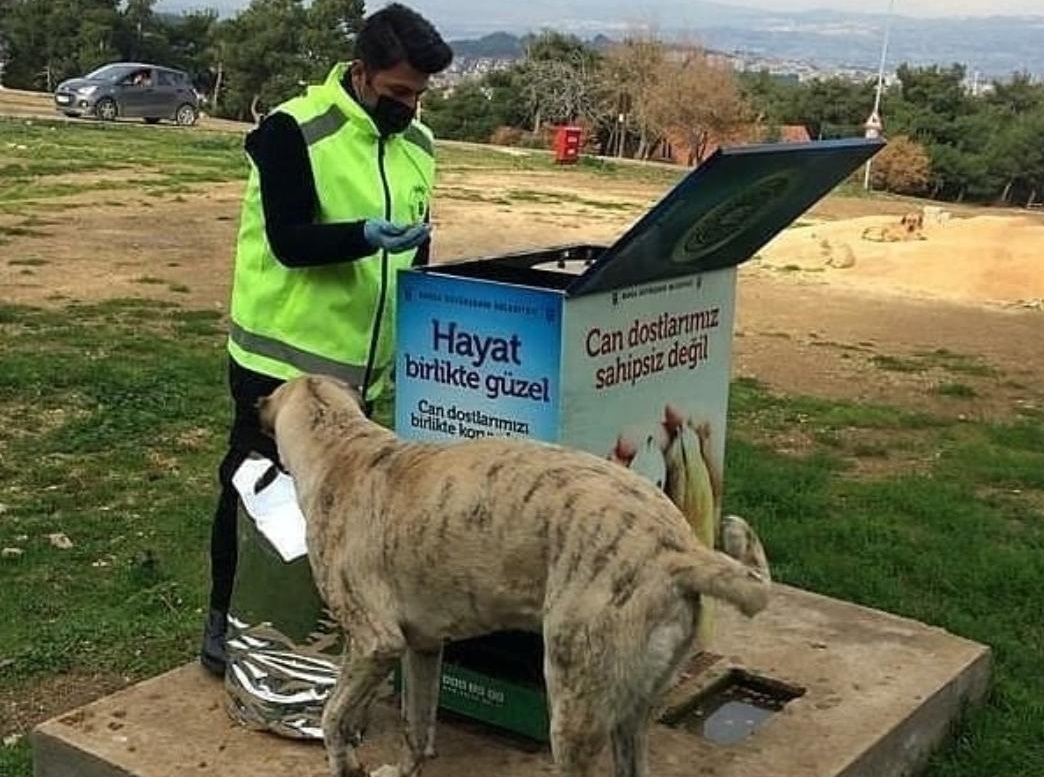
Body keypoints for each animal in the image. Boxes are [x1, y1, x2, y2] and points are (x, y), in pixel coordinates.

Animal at [257, 373, 772, 772]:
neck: (343, 445)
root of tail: (676, 549)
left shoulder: (374, 643)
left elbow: (333, 718)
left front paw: (346, 761)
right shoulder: (423, 648)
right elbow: (416, 730)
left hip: (574, 702)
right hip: (632, 710)